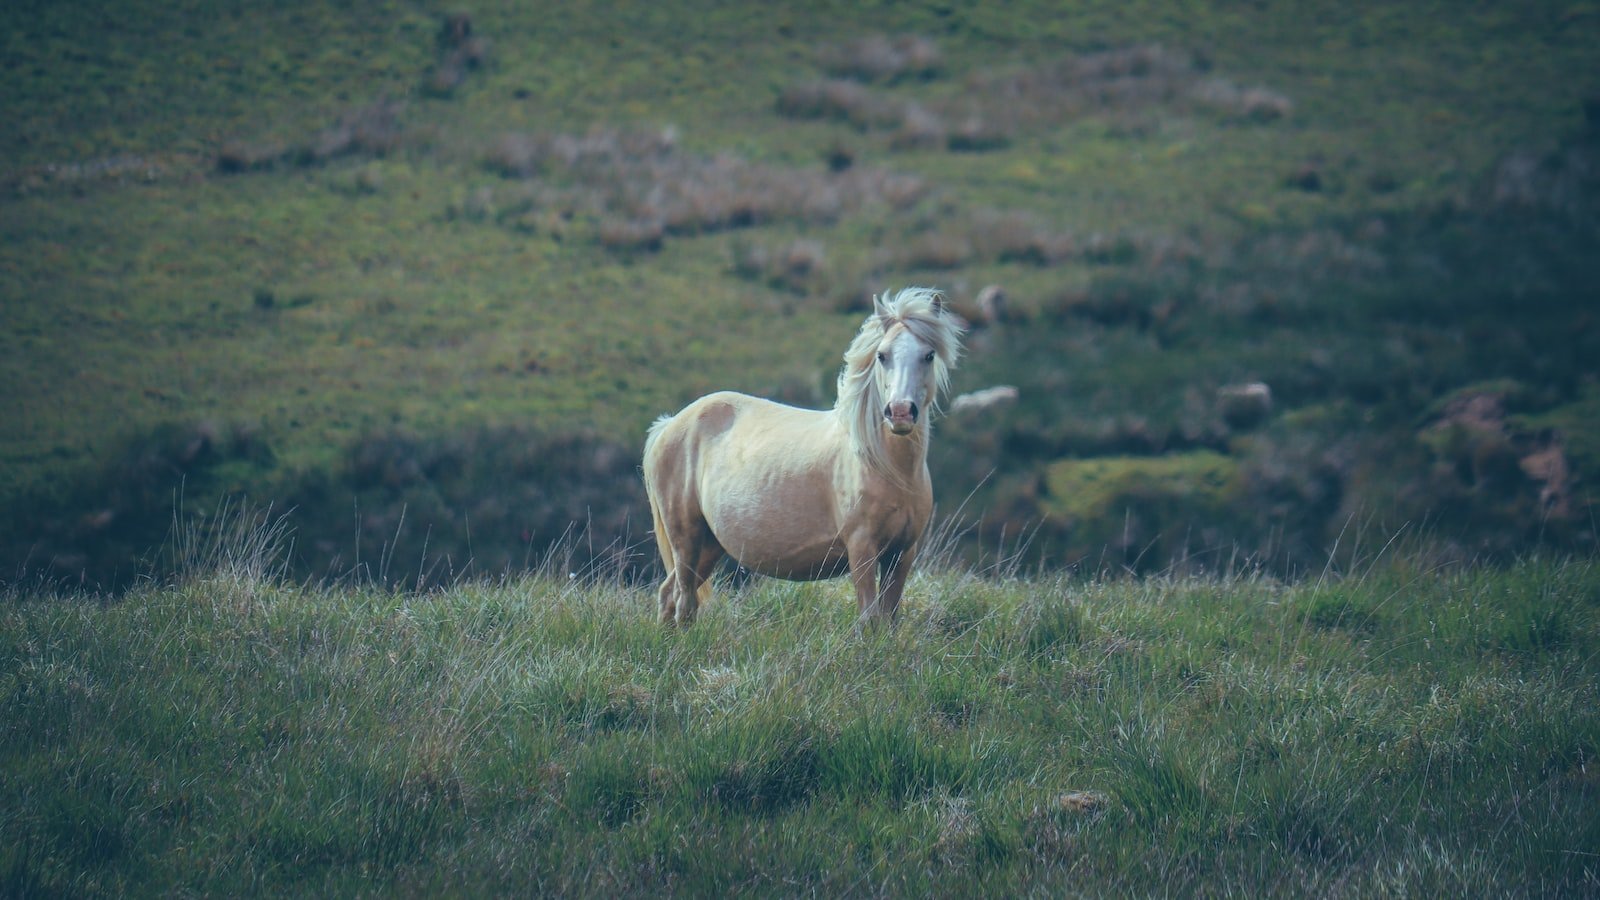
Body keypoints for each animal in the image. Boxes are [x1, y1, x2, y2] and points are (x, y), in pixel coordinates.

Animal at [643, 286, 966, 624]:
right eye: (882, 355)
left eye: (928, 355)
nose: (900, 412)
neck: (887, 468)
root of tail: (669, 424)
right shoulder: (862, 549)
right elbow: (869, 619)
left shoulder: (901, 554)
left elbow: (889, 620)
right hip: (687, 538)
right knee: (684, 602)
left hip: (711, 543)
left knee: (670, 594)